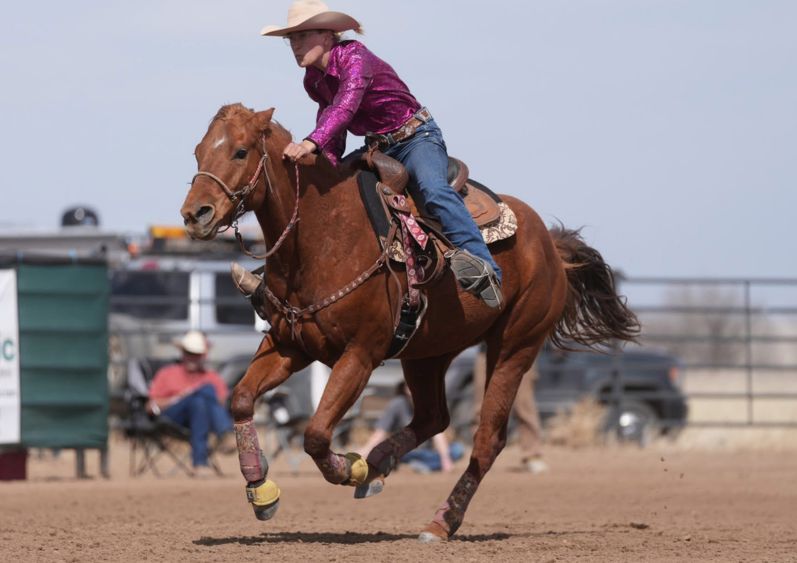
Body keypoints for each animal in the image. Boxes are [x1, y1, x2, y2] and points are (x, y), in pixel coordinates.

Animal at [180, 103, 639, 542]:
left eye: (240, 151)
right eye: (198, 152)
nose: (194, 214)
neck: (323, 235)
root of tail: (550, 246)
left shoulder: (361, 355)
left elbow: (316, 433)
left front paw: (349, 469)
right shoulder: (290, 345)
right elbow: (241, 398)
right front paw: (262, 491)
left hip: (515, 346)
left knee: (487, 438)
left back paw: (441, 520)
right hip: (428, 354)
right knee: (434, 418)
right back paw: (379, 463)